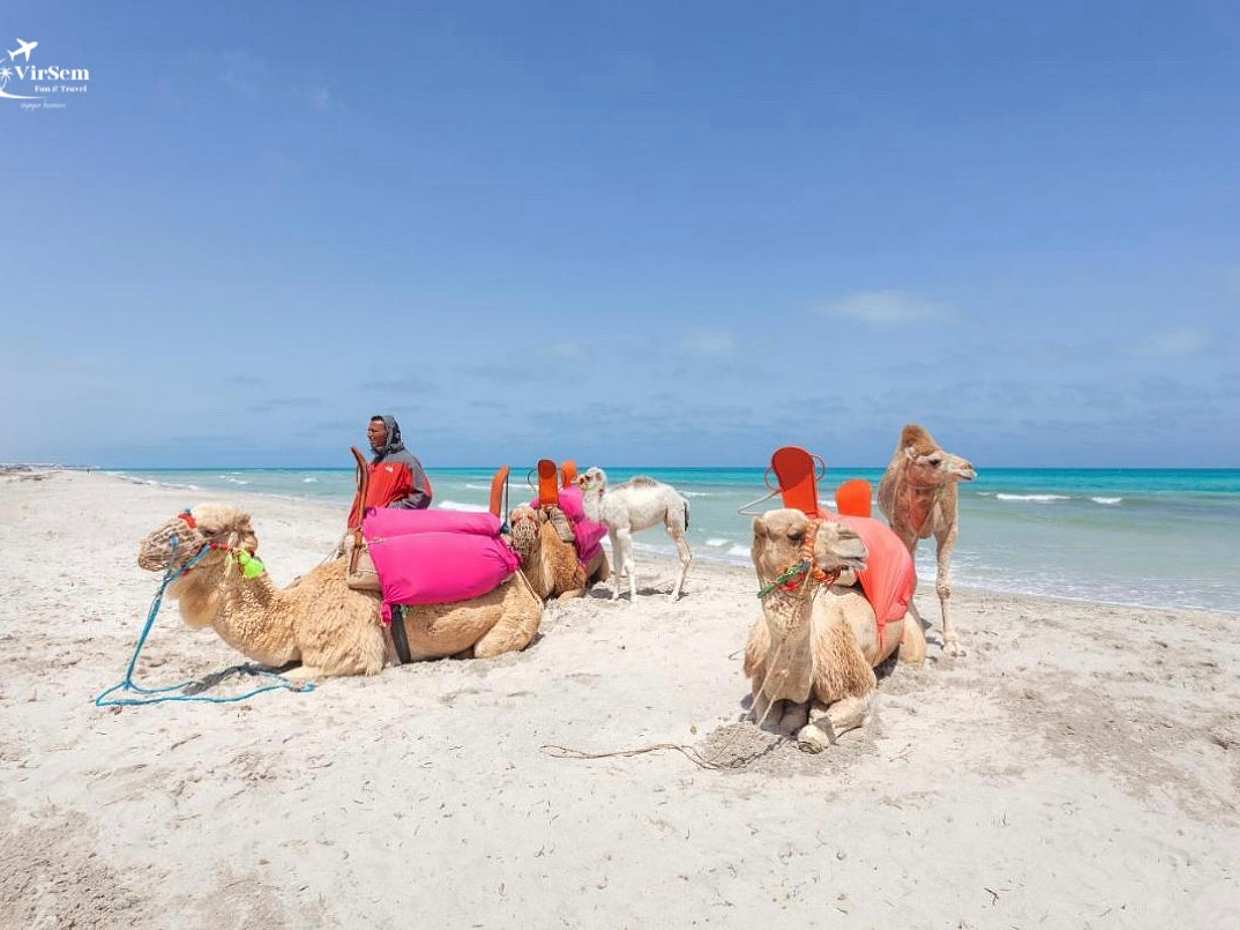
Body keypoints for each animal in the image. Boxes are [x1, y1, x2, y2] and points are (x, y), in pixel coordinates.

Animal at [136, 504, 543, 679]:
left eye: (207, 531)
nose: (144, 550)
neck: (293, 613)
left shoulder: (349, 654)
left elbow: (292, 676)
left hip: (514, 618)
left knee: (485, 648)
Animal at [576, 467, 693, 601]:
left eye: (588, 477)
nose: (578, 480)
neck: (603, 504)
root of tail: (682, 500)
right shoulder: (613, 532)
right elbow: (617, 564)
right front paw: (614, 597)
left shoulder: (623, 530)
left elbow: (629, 564)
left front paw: (633, 598)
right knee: (689, 554)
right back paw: (679, 592)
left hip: (673, 518)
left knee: (684, 555)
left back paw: (673, 596)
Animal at [744, 508, 926, 752]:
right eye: (794, 534)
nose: (853, 538)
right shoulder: (760, 680)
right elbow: (768, 721)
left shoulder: (859, 684)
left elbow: (814, 733)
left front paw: (813, 720)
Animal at [877, 424, 976, 656]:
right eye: (935, 461)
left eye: (949, 453)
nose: (969, 467)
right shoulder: (903, 529)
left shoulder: (948, 529)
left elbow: (944, 586)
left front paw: (952, 642)